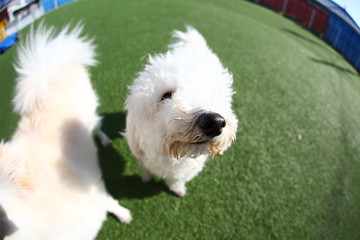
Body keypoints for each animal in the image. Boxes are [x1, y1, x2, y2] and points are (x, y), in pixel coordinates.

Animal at [124, 27, 239, 198]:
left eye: (213, 94)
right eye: (166, 96)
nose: (214, 122)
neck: (171, 157)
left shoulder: (185, 171)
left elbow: (176, 180)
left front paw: (177, 189)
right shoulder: (142, 157)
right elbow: (146, 170)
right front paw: (146, 178)